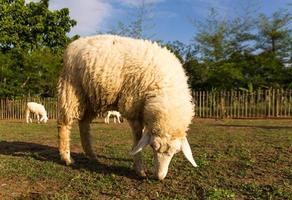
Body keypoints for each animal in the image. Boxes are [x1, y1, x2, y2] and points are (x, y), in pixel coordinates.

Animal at [56, 34, 197, 180]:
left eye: (175, 152)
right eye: (153, 147)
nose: (159, 177)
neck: (166, 90)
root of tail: (74, 44)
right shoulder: (133, 109)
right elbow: (137, 140)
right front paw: (139, 169)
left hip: (91, 98)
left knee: (84, 124)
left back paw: (92, 155)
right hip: (71, 90)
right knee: (64, 123)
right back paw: (66, 157)